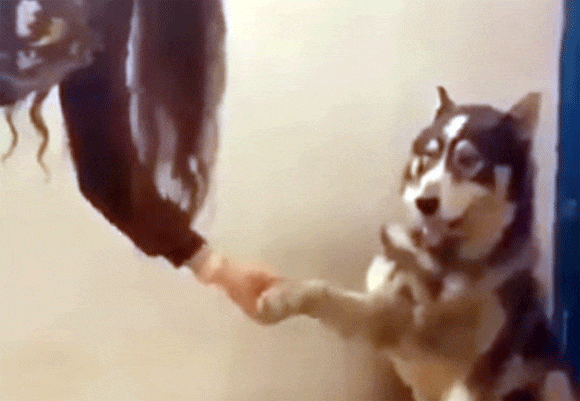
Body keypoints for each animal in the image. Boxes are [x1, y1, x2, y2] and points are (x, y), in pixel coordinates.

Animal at [256, 88, 578, 401]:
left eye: (468, 160)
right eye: (429, 157)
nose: (424, 202)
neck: (446, 263)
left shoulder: (472, 371)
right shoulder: (392, 320)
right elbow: (331, 294)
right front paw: (285, 295)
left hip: (554, 377)